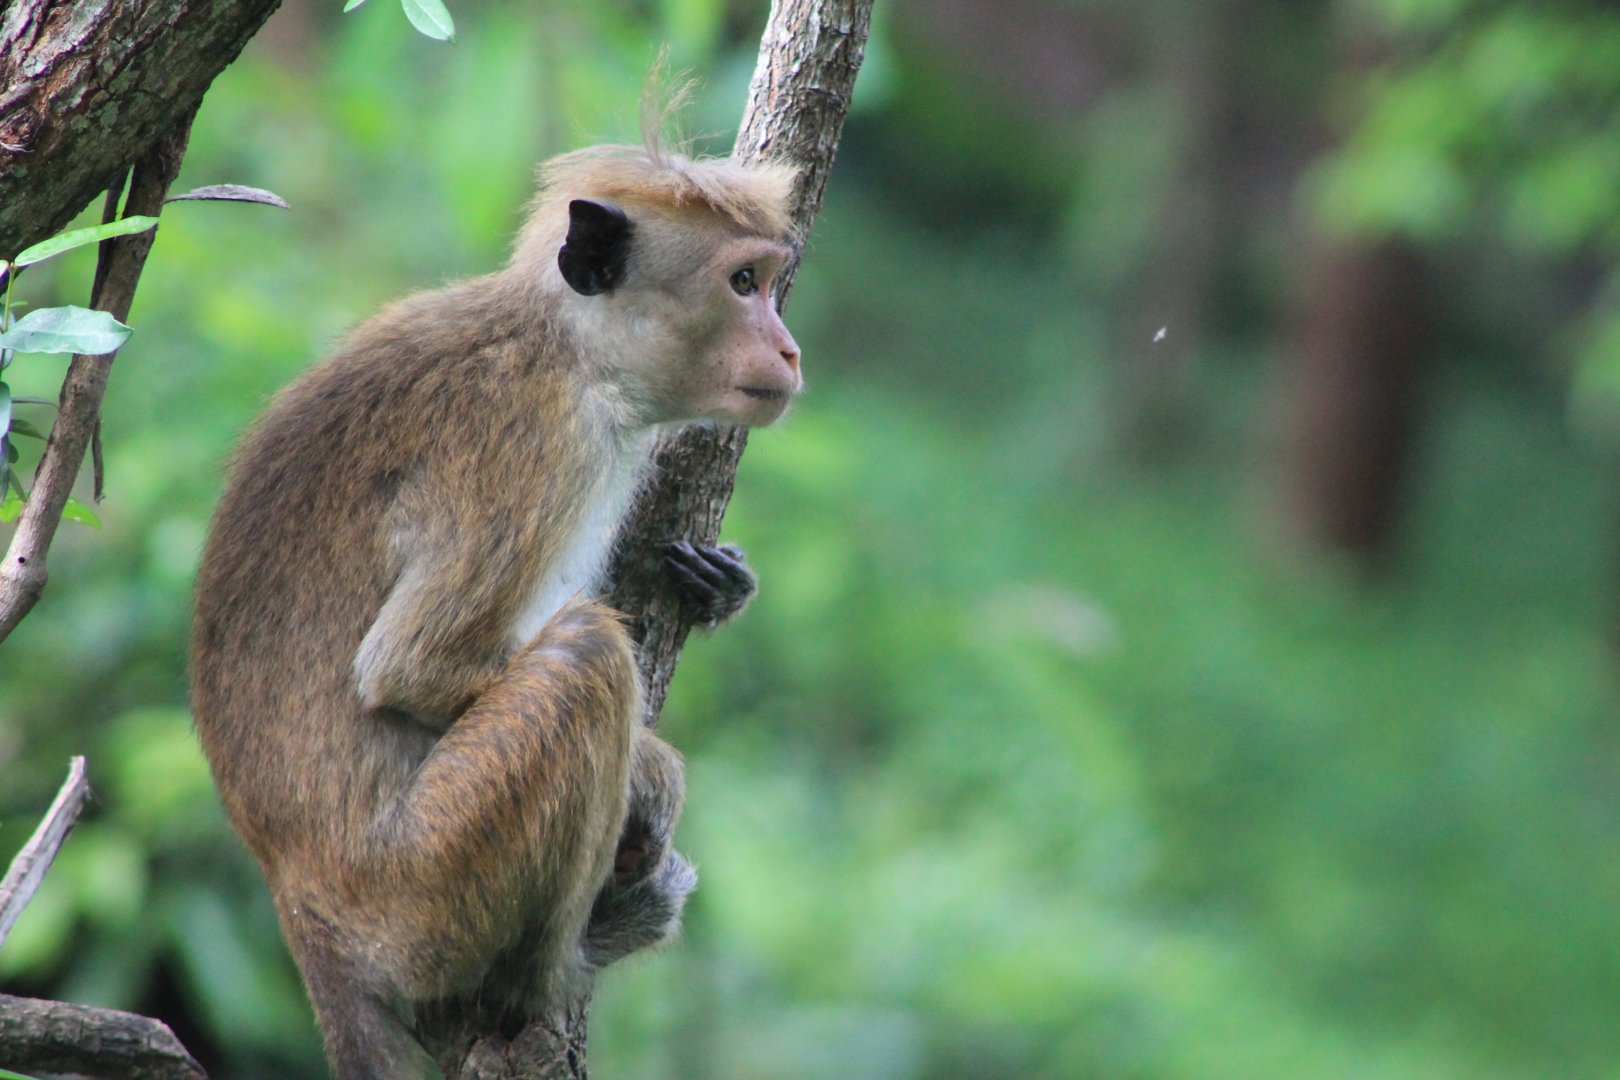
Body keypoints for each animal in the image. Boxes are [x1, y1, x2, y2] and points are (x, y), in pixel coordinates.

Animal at [188, 141, 801, 1080]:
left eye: (768, 282)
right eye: (742, 283)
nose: (790, 350)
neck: (569, 349)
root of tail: (301, 904)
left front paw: (718, 581)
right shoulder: (538, 446)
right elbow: (410, 668)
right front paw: (652, 766)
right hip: (423, 885)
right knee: (585, 657)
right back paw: (556, 970)